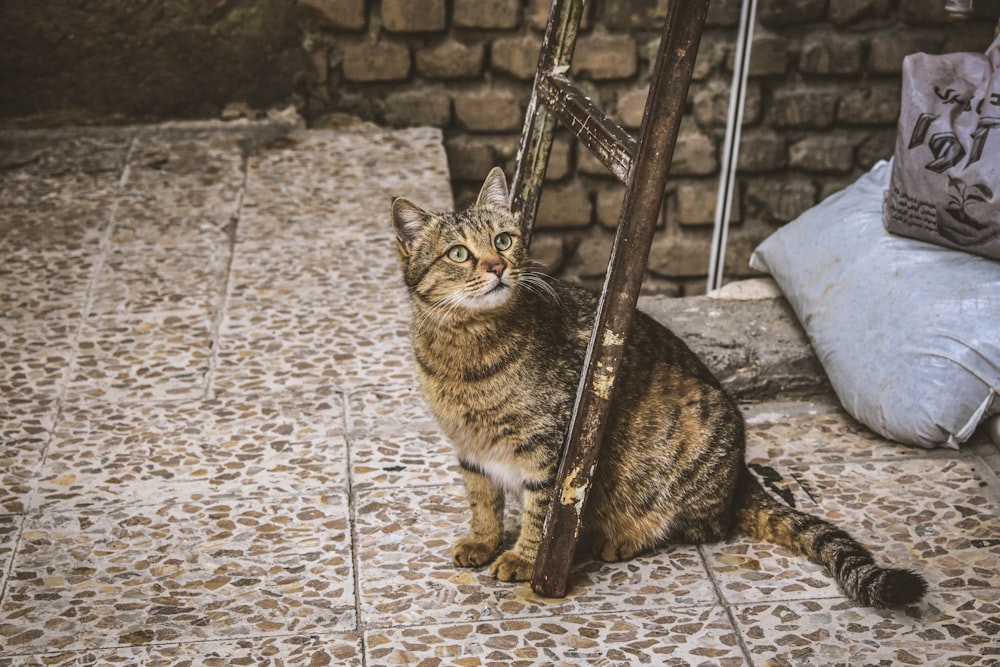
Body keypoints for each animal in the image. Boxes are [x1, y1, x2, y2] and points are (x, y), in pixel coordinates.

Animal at [392, 168, 928, 612]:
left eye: (504, 241)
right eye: (459, 253)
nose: (498, 267)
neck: (464, 349)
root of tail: (741, 475)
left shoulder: (553, 451)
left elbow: (539, 513)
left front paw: (522, 558)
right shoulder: (470, 450)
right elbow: (482, 500)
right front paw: (483, 542)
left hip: (695, 428)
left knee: (702, 527)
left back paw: (619, 539)